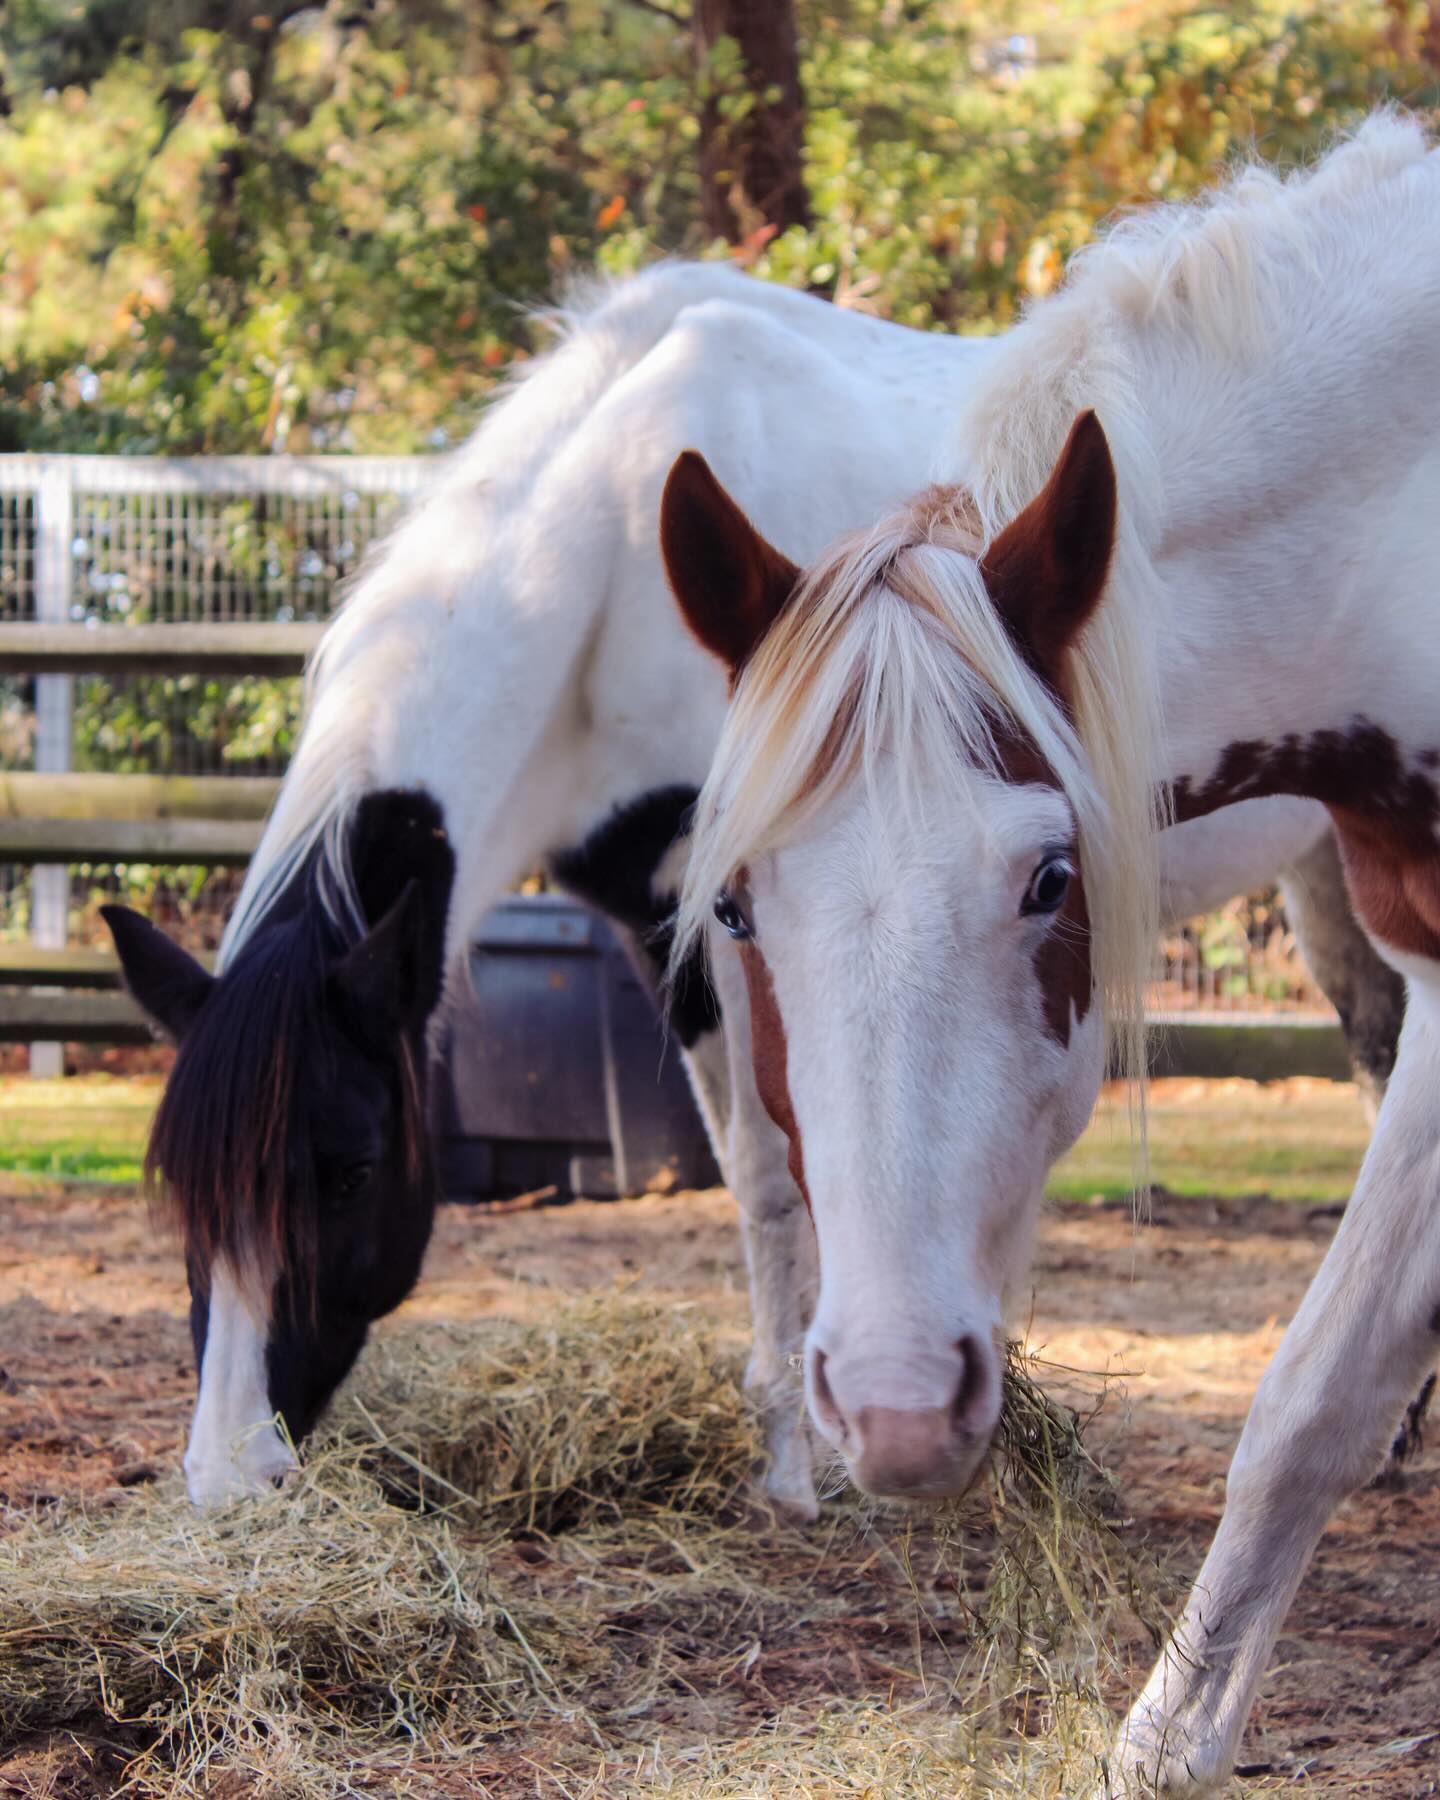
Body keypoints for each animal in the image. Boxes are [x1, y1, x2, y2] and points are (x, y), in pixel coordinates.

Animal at [105, 261, 1394, 1531]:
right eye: (179, 1195)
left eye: (352, 1171)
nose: (229, 1470)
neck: (607, 550)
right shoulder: (670, 924)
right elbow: (754, 1168)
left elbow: (779, 1171)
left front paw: (795, 1461)